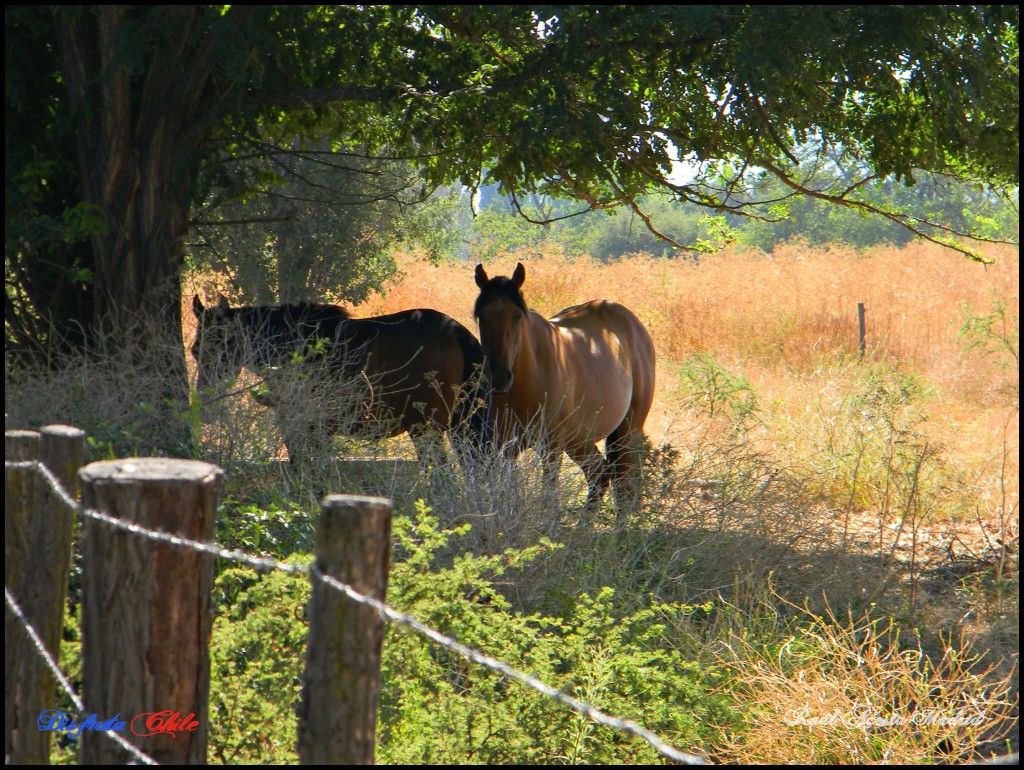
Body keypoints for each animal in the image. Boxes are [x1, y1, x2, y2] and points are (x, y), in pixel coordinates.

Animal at [191, 295, 491, 465]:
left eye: (223, 347)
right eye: (195, 350)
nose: (204, 406)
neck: (295, 343)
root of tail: (455, 331)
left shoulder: (302, 429)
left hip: (426, 430)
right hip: (458, 429)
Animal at [472, 263, 656, 514]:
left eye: (517, 316)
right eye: (481, 316)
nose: (500, 378)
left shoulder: (551, 448)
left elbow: (549, 497)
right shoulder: (504, 446)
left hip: (628, 430)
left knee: (624, 486)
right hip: (580, 440)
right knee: (599, 475)